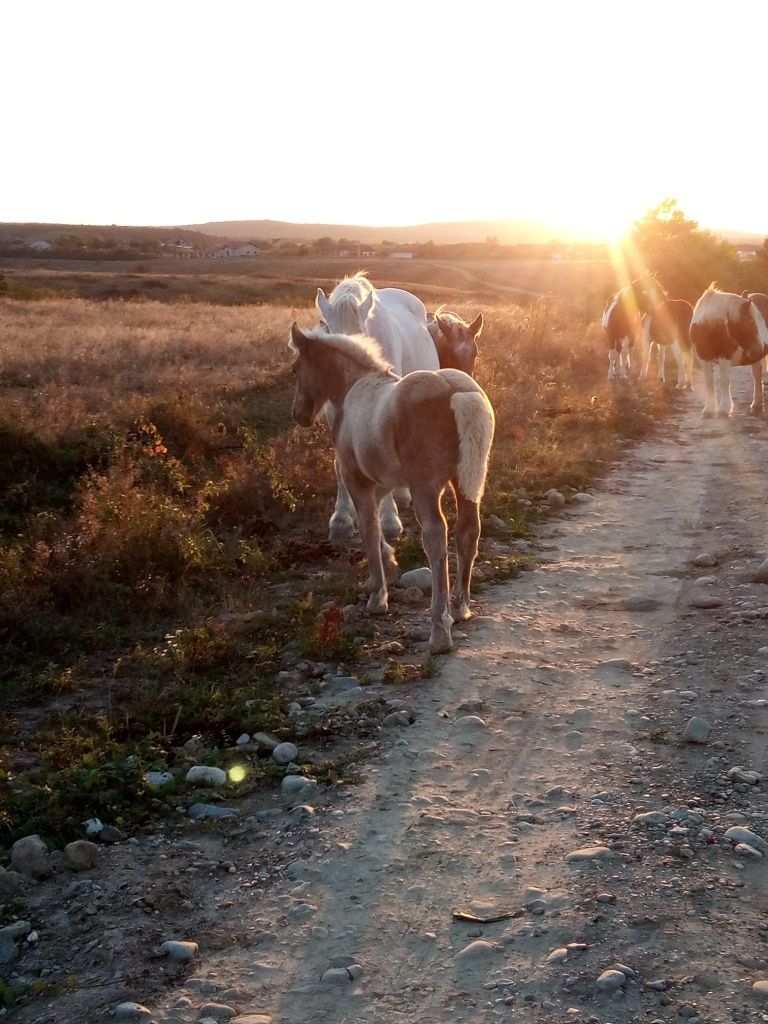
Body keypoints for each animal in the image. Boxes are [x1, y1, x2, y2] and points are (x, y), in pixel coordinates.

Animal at [286, 323, 493, 651]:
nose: (300, 414)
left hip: (427, 488)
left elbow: (369, 529)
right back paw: (461, 608)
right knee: (468, 531)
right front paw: (388, 562)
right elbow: (380, 523)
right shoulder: (382, 481)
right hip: (466, 482)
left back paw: (439, 630)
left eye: (296, 369)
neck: (353, 388)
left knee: (436, 537)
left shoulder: (357, 480)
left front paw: (377, 597)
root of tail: (457, 392)